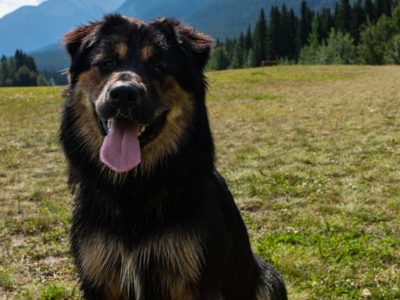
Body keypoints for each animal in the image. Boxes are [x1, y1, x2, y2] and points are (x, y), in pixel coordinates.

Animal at [60, 14, 288, 300]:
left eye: (158, 67)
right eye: (108, 63)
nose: (123, 94)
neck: (135, 190)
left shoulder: (196, 278)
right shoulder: (99, 277)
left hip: (268, 278)